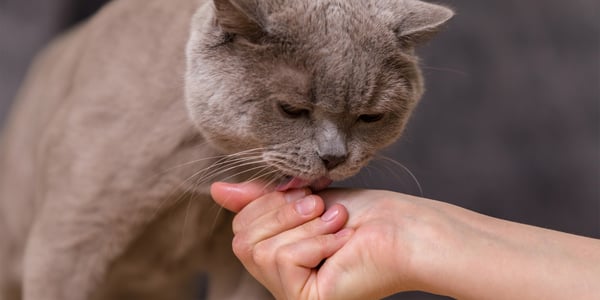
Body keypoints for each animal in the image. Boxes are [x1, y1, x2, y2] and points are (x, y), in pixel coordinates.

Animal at [0, 0, 452, 298]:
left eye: (370, 117)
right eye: (292, 110)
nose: (334, 156)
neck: (206, 171)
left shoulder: (241, 267)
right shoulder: (70, 240)